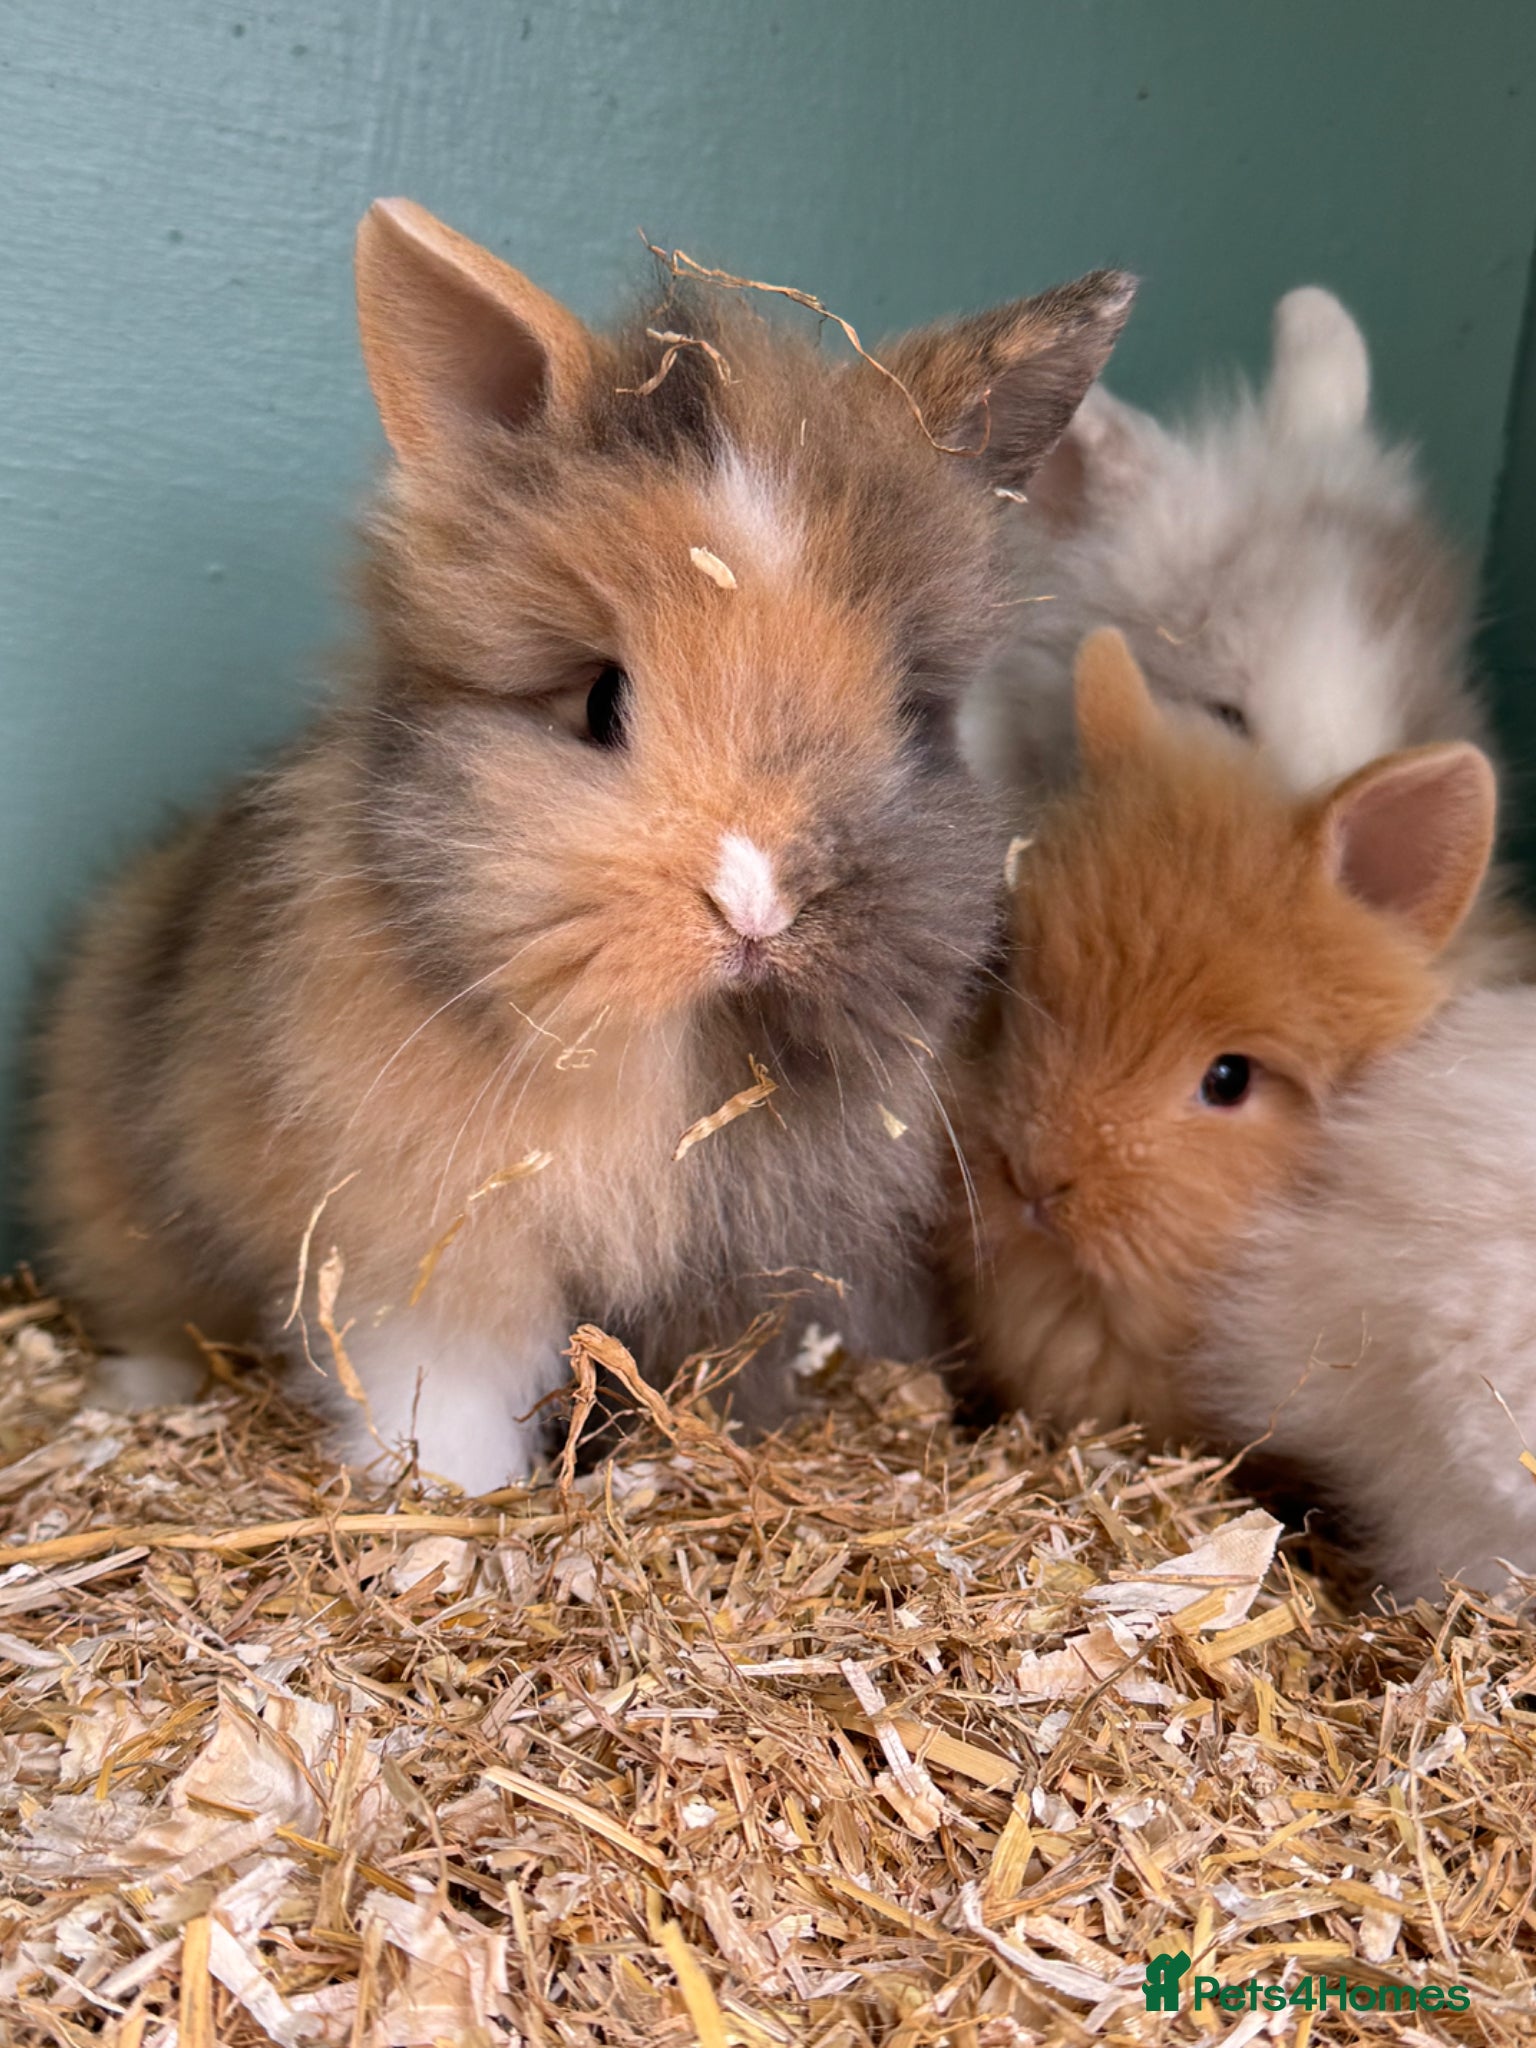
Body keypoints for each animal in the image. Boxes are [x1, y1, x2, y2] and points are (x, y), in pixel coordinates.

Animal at [29, 198, 1137, 1493]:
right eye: (601, 699)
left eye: (912, 713)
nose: (755, 905)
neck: (680, 1056)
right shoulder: (433, 1245)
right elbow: (444, 1384)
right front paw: (452, 1497)